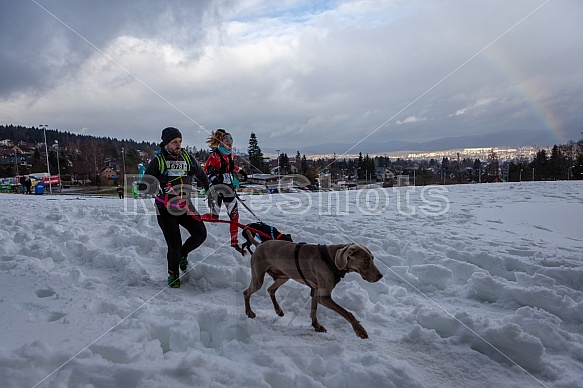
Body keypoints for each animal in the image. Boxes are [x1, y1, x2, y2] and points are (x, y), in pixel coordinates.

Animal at [242, 241, 384, 338]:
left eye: (372, 259)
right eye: (366, 261)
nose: (380, 276)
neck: (332, 260)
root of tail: (259, 244)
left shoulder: (316, 290)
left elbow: (314, 310)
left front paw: (317, 326)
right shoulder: (324, 296)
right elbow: (347, 312)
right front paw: (360, 330)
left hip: (284, 276)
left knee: (271, 289)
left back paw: (278, 310)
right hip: (258, 278)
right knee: (246, 292)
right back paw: (249, 312)